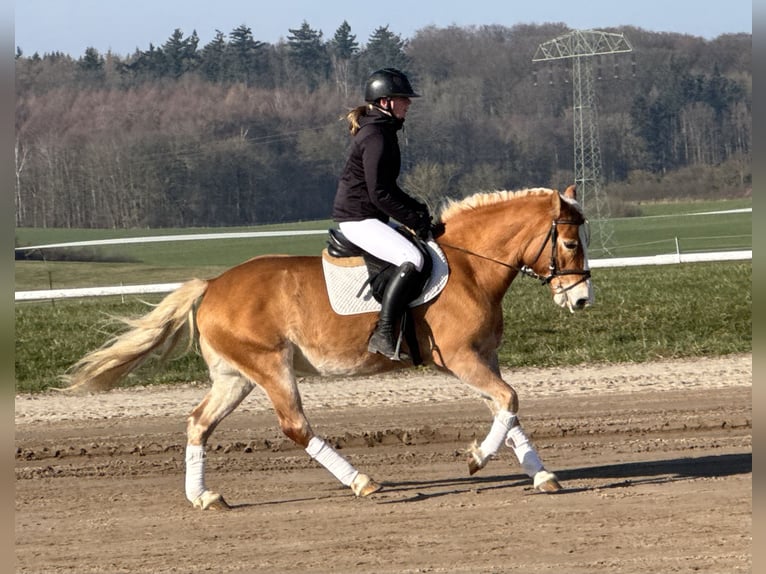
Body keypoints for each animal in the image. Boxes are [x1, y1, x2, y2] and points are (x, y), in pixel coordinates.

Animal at [66, 186, 592, 512]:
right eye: (569, 243)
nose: (581, 299)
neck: (469, 267)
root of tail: (212, 285)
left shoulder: (481, 358)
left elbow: (507, 408)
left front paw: (541, 476)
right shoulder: (461, 359)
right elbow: (508, 400)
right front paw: (477, 459)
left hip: (236, 377)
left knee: (199, 423)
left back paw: (204, 497)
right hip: (271, 367)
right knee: (295, 426)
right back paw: (361, 481)